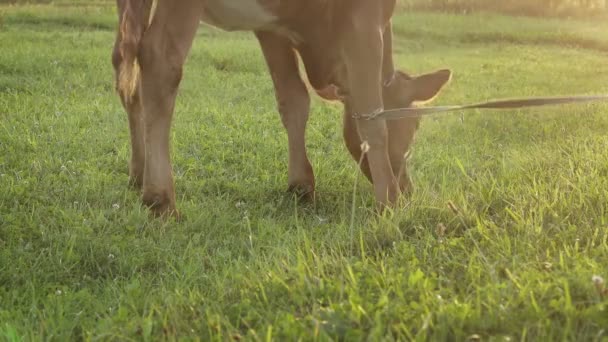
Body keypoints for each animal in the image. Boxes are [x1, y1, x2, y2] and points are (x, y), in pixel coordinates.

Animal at [111, 0, 452, 218]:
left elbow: (294, 98)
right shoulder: (363, 18)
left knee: (126, 67)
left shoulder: (272, 26)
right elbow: (372, 115)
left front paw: (301, 185)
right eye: (413, 127)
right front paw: (390, 204)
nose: (407, 188)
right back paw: (160, 199)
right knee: (159, 58)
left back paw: (139, 172)